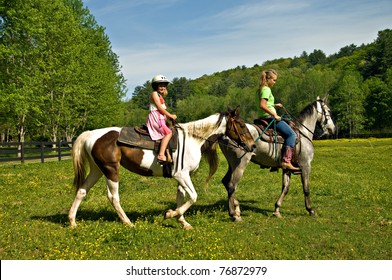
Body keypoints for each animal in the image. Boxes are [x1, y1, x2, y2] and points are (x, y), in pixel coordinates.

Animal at [69, 108, 256, 229]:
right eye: (241, 125)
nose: (252, 145)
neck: (193, 139)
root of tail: (91, 134)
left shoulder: (182, 177)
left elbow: (182, 197)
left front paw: (182, 222)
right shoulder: (182, 175)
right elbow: (193, 197)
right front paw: (170, 214)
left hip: (97, 170)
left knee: (81, 191)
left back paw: (72, 221)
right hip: (111, 170)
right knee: (113, 197)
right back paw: (127, 222)